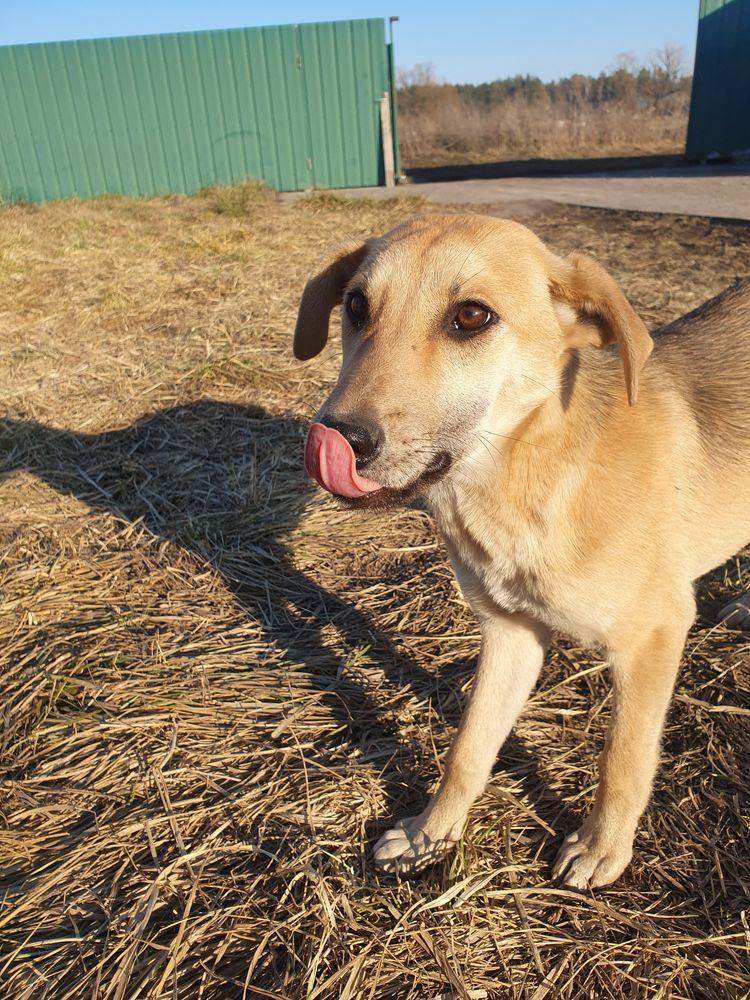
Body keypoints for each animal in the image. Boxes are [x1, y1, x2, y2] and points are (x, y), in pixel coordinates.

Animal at [294, 215, 750, 888]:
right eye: (355, 306)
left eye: (471, 316)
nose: (338, 437)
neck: (530, 473)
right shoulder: (510, 633)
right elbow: (468, 750)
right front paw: (430, 833)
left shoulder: (654, 636)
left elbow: (622, 758)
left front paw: (602, 848)